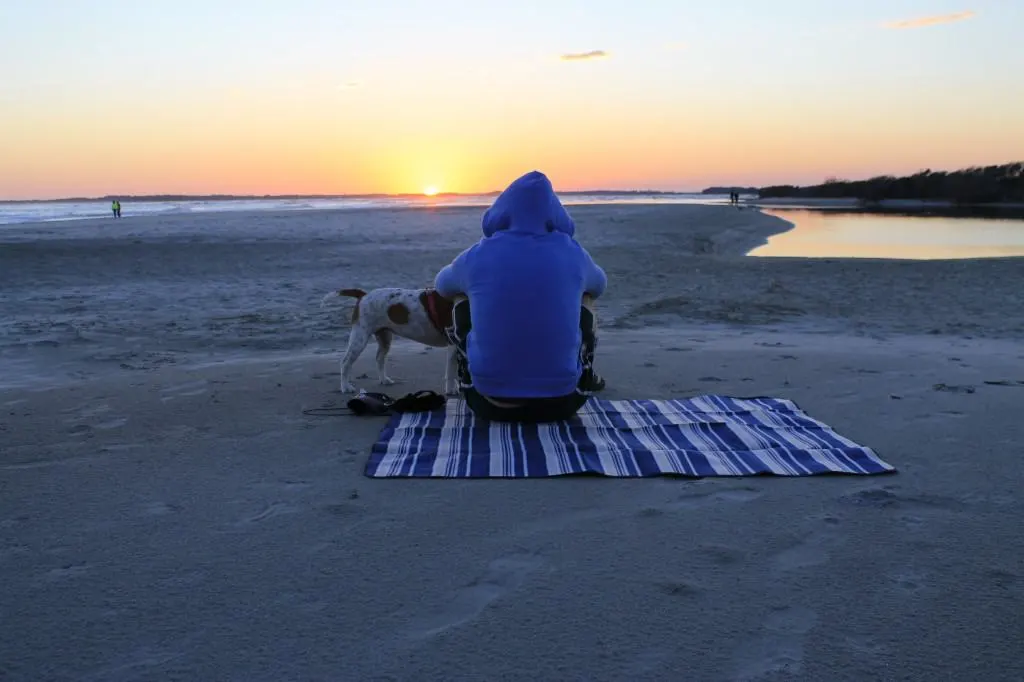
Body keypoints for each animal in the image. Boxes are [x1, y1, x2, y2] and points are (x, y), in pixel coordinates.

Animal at [321, 284, 458, 393]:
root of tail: (364, 295)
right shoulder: (453, 343)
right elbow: (451, 372)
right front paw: (451, 390)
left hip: (384, 337)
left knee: (379, 358)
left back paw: (384, 380)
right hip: (360, 337)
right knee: (345, 362)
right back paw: (345, 387)